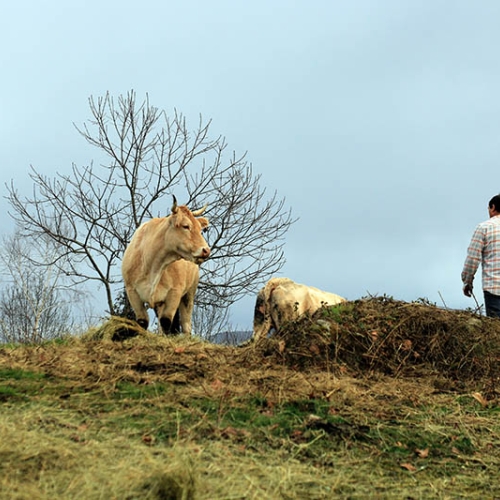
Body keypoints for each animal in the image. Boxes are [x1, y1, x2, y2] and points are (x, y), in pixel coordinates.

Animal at [122, 197, 210, 334]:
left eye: (200, 229)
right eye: (186, 226)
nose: (206, 250)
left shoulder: (174, 293)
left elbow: (166, 322)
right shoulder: (132, 292)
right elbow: (142, 322)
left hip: (189, 294)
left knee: (186, 325)